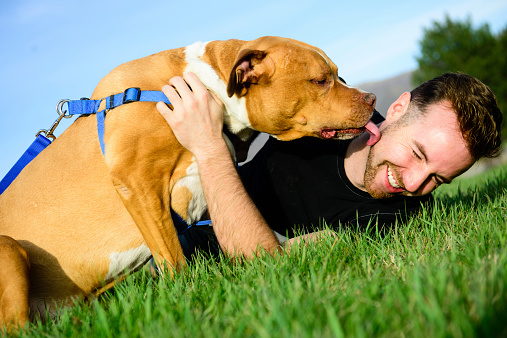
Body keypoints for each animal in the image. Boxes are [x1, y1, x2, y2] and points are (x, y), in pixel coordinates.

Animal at [0, 36, 378, 330]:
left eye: (339, 75)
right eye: (320, 81)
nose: (372, 99)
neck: (209, 87)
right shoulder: (136, 181)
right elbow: (173, 257)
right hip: (10, 249)